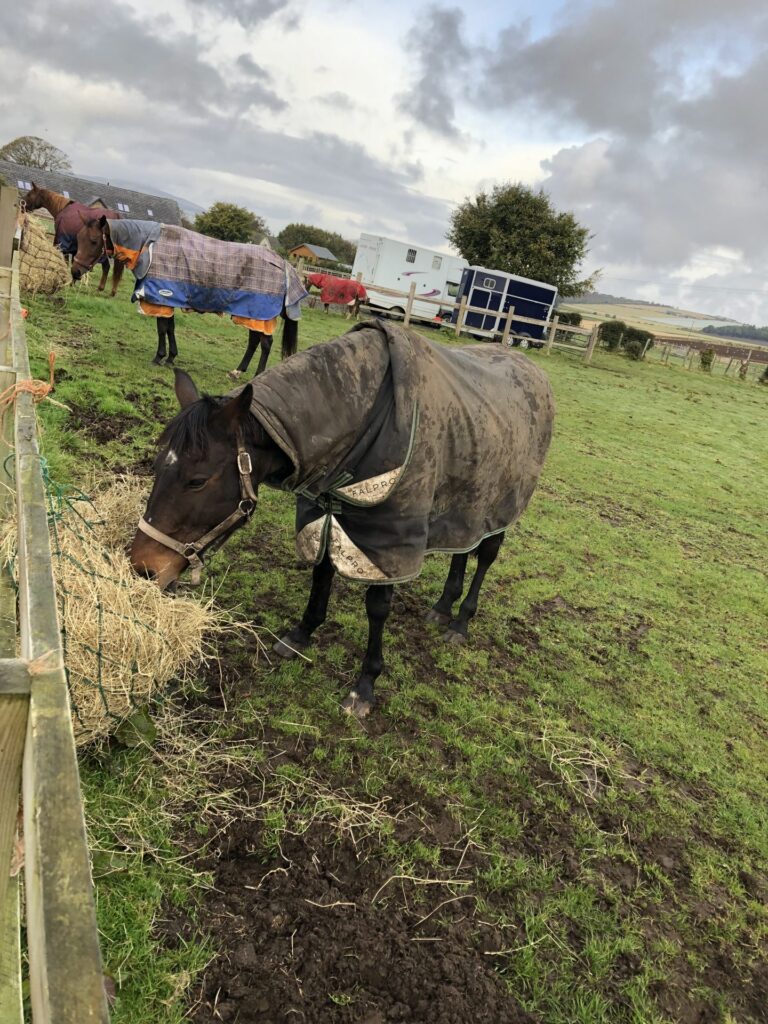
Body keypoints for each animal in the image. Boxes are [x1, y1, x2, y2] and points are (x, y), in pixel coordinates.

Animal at [72, 217, 307, 372]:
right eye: (79, 237)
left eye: (93, 241)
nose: (75, 271)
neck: (149, 245)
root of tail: (283, 264)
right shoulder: (167, 300)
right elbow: (170, 328)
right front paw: (170, 357)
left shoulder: (161, 298)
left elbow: (162, 328)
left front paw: (159, 357)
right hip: (251, 314)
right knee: (254, 341)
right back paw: (238, 370)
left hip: (258, 313)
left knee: (265, 344)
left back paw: (257, 374)